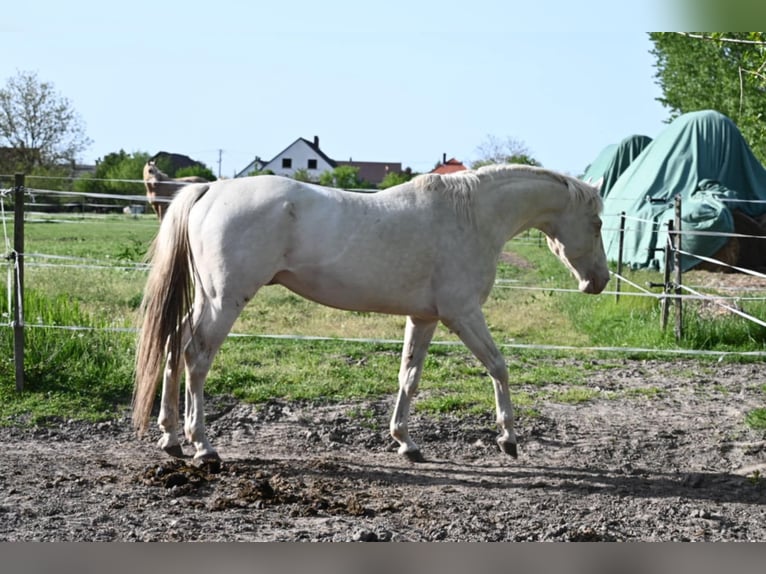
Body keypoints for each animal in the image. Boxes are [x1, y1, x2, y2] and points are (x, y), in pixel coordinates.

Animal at [133, 164, 610, 463]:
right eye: (599, 223)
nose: (599, 281)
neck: (471, 216)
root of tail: (211, 189)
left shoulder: (425, 318)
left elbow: (409, 377)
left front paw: (406, 443)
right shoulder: (463, 314)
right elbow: (499, 366)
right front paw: (508, 438)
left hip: (207, 299)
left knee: (174, 346)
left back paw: (171, 438)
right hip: (224, 301)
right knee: (196, 358)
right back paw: (203, 445)